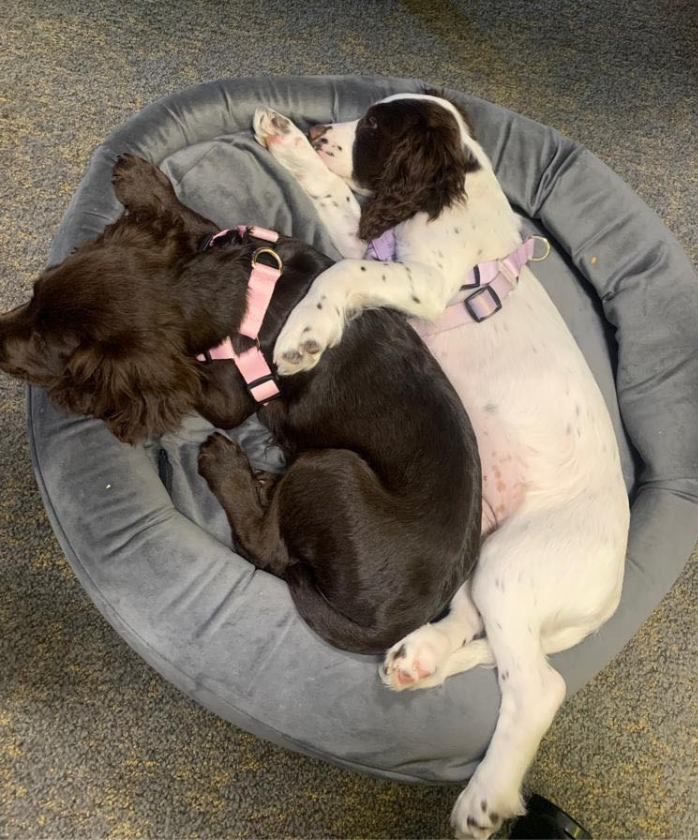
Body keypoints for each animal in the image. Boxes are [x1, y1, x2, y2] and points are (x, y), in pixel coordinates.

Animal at [0, 158, 478, 656]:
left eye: (48, 346)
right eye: (34, 292)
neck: (241, 295)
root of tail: (396, 627)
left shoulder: (230, 398)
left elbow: (184, 377)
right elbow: (204, 225)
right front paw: (144, 185)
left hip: (331, 468)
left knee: (265, 547)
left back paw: (229, 469)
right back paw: (264, 483)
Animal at [253, 95, 628, 836]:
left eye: (374, 128)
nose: (318, 127)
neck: (458, 199)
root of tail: (611, 593)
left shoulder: (423, 284)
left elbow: (341, 272)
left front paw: (305, 334)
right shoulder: (379, 248)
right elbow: (337, 202)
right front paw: (285, 141)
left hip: (515, 566)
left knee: (537, 684)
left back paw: (484, 798)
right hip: (487, 550)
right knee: (473, 626)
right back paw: (417, 659)